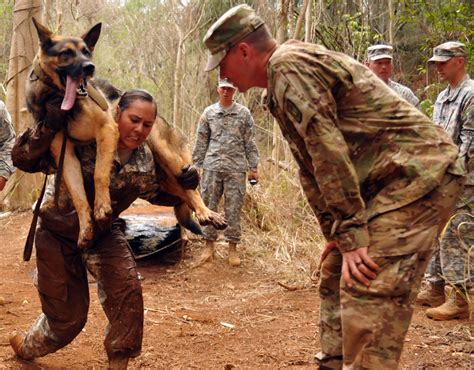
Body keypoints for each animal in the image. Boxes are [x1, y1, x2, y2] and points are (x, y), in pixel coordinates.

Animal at [28, 19, 227, 249]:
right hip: (165, 181)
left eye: (87, 52)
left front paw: (102, 205)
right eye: (66, 53)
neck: (59, 101)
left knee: (191, 189)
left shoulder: (106, 128)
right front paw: (86, 227)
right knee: (180, 195)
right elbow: (79, 196)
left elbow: (99, 173)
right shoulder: (65, 153)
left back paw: (205, 212)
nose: (90, 68)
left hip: (166, 153)